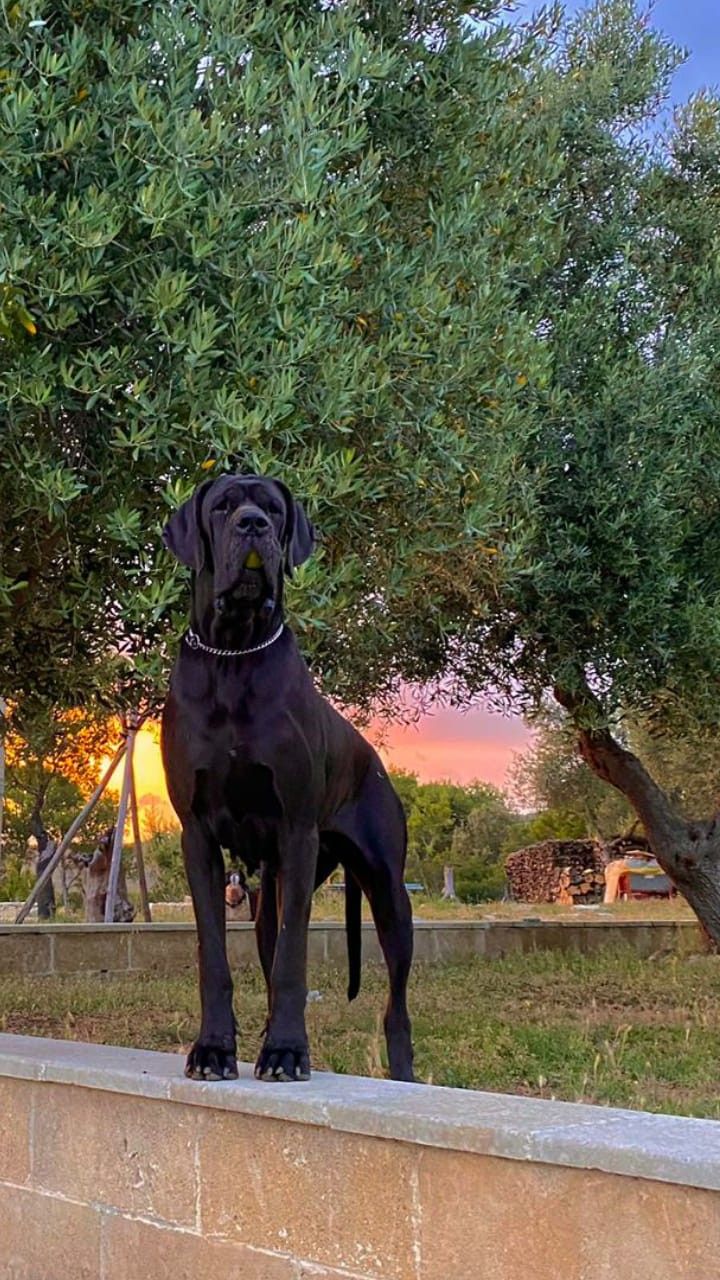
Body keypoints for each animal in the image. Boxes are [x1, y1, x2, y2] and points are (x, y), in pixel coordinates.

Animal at [161, 473, 414, 1083]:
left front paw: (287, 1051)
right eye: (223, 506)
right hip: (265, 898)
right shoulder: (197, 836)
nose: (253, 525)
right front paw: (213, 1049)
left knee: (396, 1006)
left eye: (273, 510)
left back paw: (402, 1073)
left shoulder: (297, 832)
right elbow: (214, 958)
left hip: (388, 890)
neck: (233, 652)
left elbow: (294, 959)